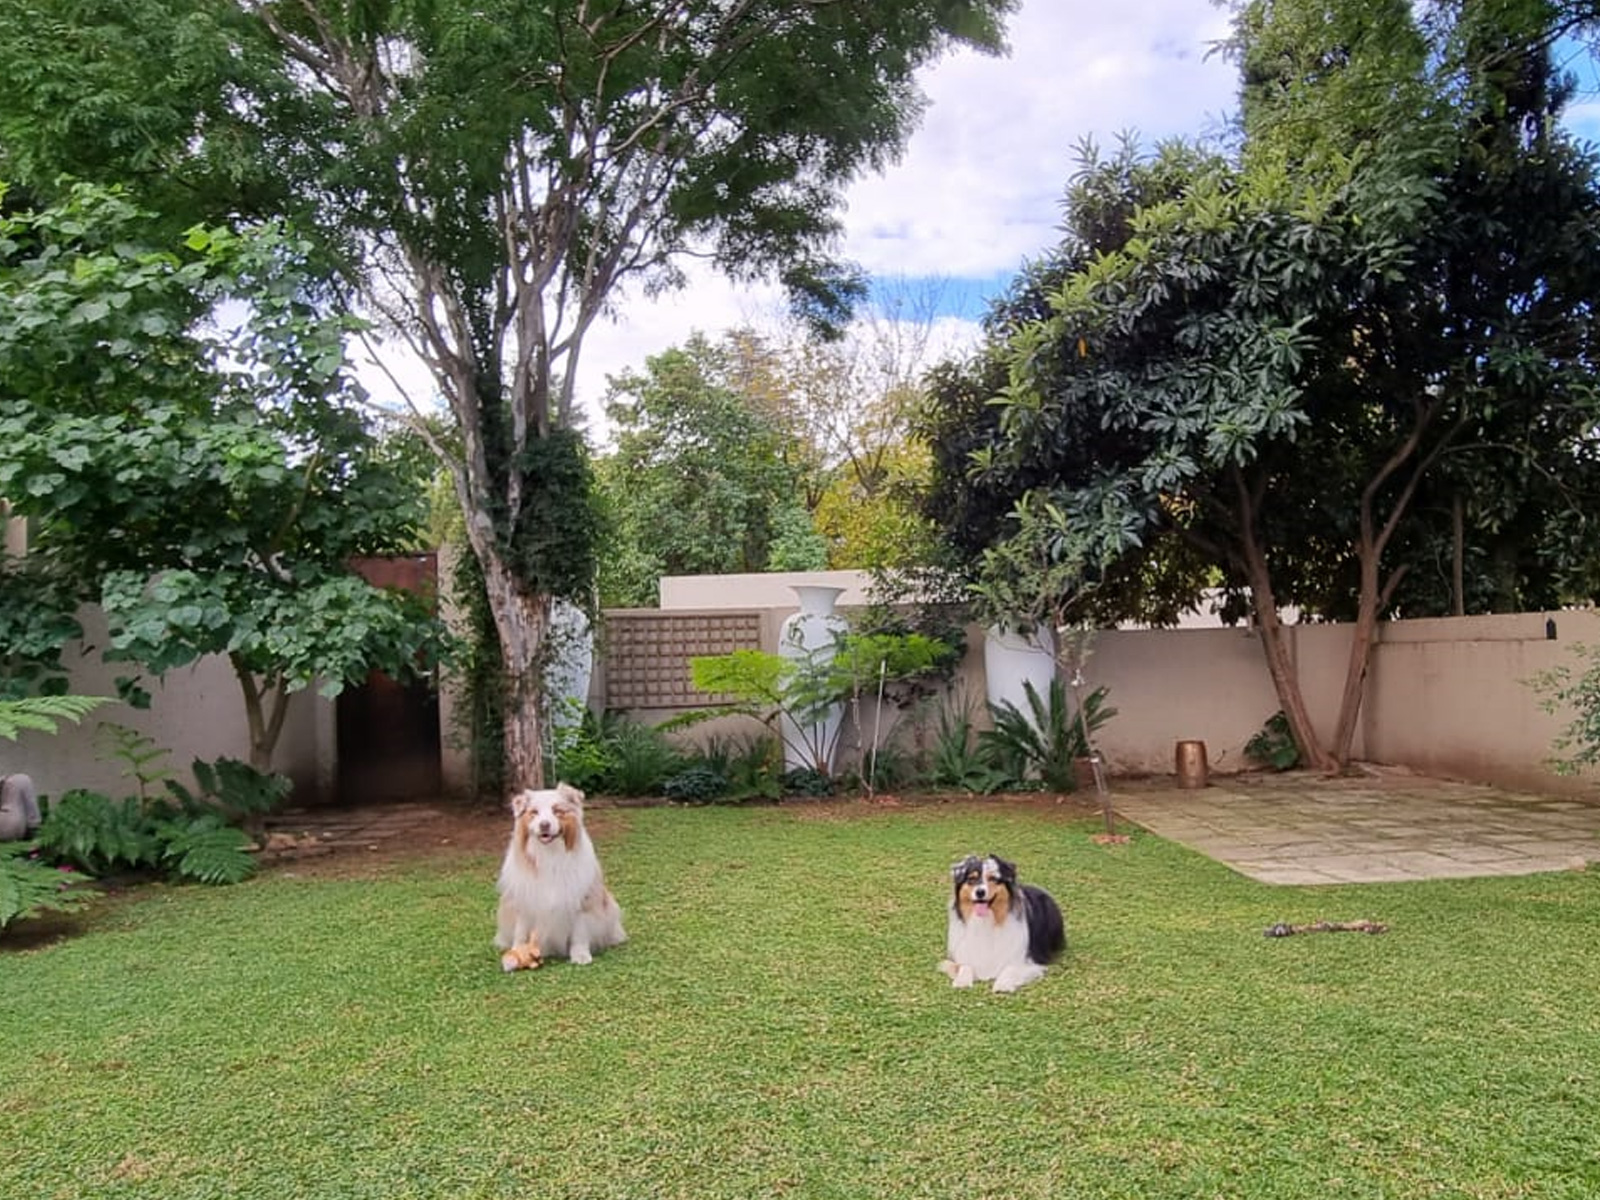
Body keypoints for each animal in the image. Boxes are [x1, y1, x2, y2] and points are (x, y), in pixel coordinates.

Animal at [492, 784, 624, 972]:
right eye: (534, 812)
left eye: (557, 811)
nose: (544, 825)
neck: (550, 854)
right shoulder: (523, 900)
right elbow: (520, 931)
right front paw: (516, 952)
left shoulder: (580, 900)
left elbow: (580, 933)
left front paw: (580, 955)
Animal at [934, 857, 1062, 998]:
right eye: (971, 879)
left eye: (993, 878)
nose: (980, 892)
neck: (987, 920)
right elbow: (965, 966)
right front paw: (962, 981)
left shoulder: (1027, 960)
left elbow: (1009, 968)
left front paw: (1002, 985)